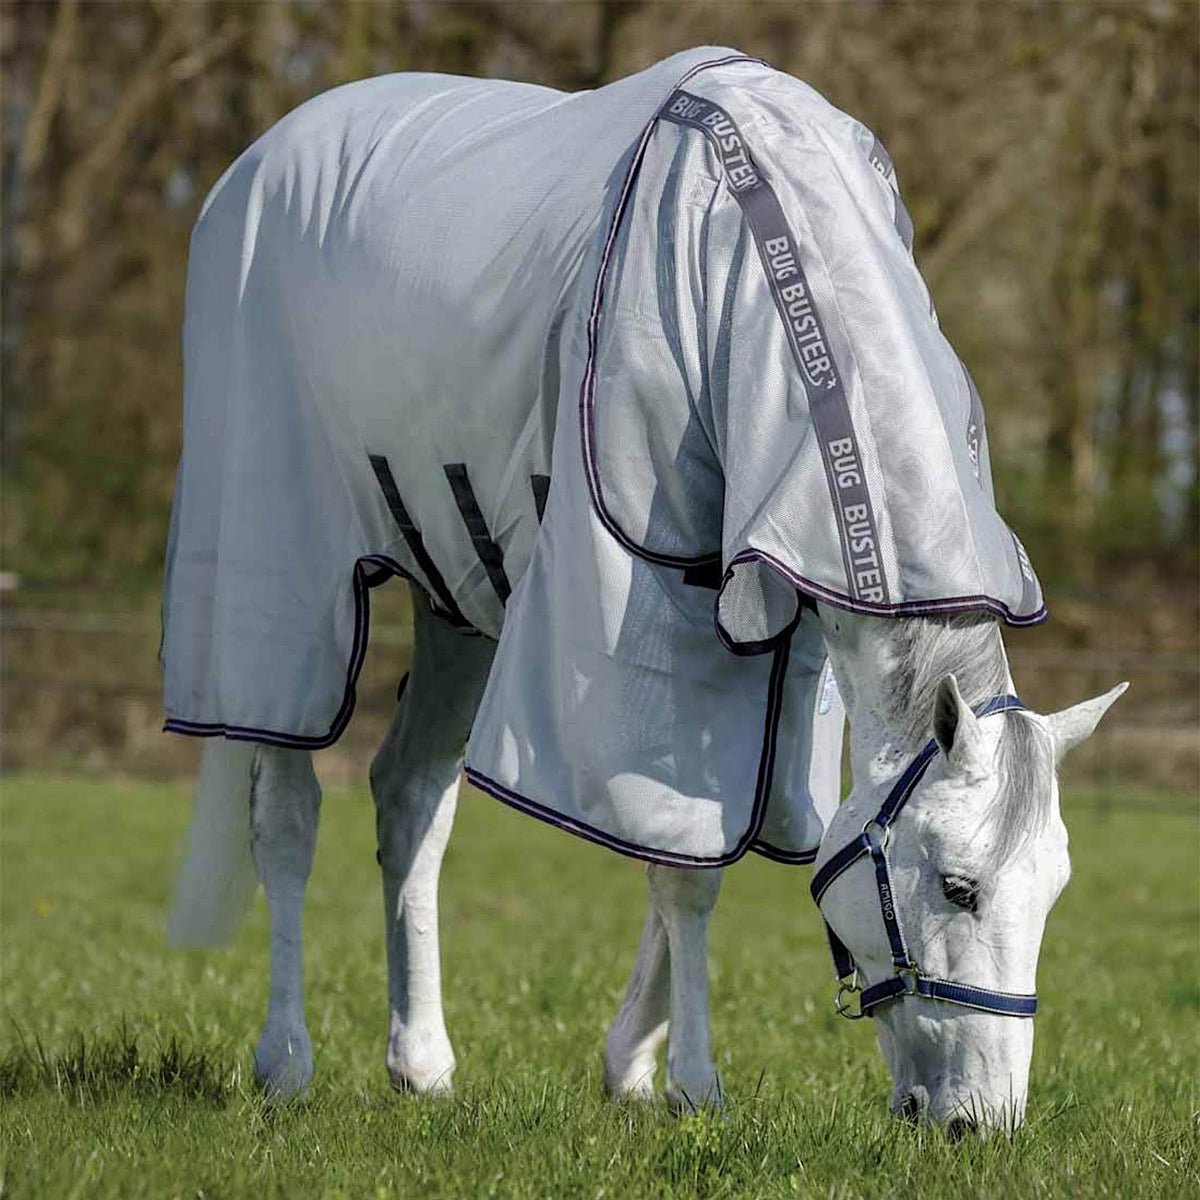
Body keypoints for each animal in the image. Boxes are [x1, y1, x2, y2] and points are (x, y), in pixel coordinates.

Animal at [159, 49, 1123, 1132]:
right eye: (959, 889)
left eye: (1053, 892)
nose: (981, 1122)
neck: (755, 279)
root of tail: (251, 166)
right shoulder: (654, 622)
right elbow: (684, 870)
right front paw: (692, 1084)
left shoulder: (794, 653)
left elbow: (726, 844)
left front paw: (629, 1065)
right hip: (284, 578)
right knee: (285, 812)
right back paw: (284, 1060)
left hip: (460, 601)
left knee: (408, 799)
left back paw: (423, 1063)